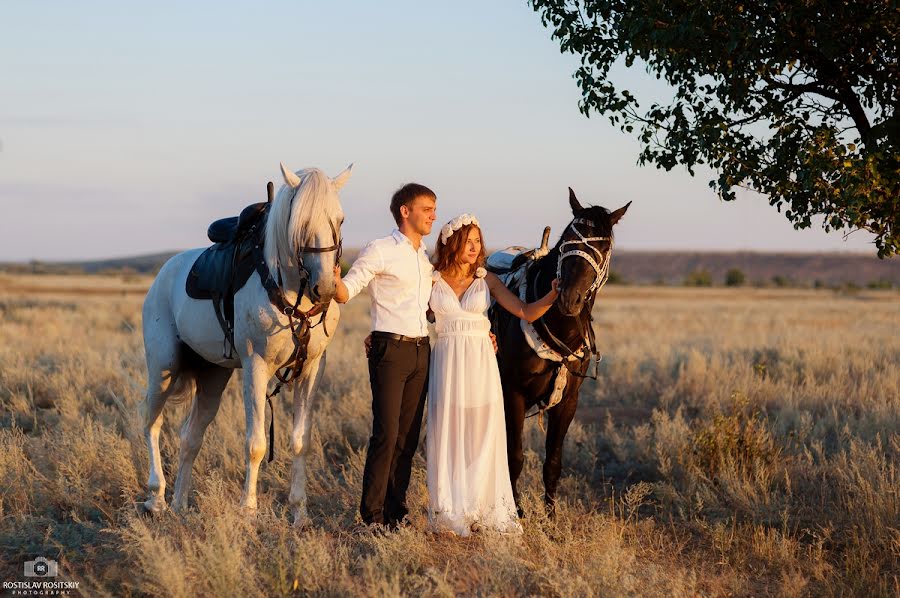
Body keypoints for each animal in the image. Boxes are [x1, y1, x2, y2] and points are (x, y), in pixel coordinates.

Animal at [142, 162, 352, 528]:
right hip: (162, 369)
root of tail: (163, 275)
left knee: (190, 438)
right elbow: (256, 443)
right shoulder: (256, 366)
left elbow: (301, 441)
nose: (326, 288)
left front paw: (299, 513)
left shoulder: (312, 369)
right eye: (300, 222)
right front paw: (248, 510)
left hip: (212, 377)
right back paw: (156, 497)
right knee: (152, 424)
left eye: (339, 220)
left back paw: (180, 503)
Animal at [488, 190, 628, 516]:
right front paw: (517, 513)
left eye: (603, 247)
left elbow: (553, 462)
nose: (569, 298)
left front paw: (551, 516)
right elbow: (515, 457)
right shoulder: (513, 393)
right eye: (567, 241)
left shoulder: (568, 401)